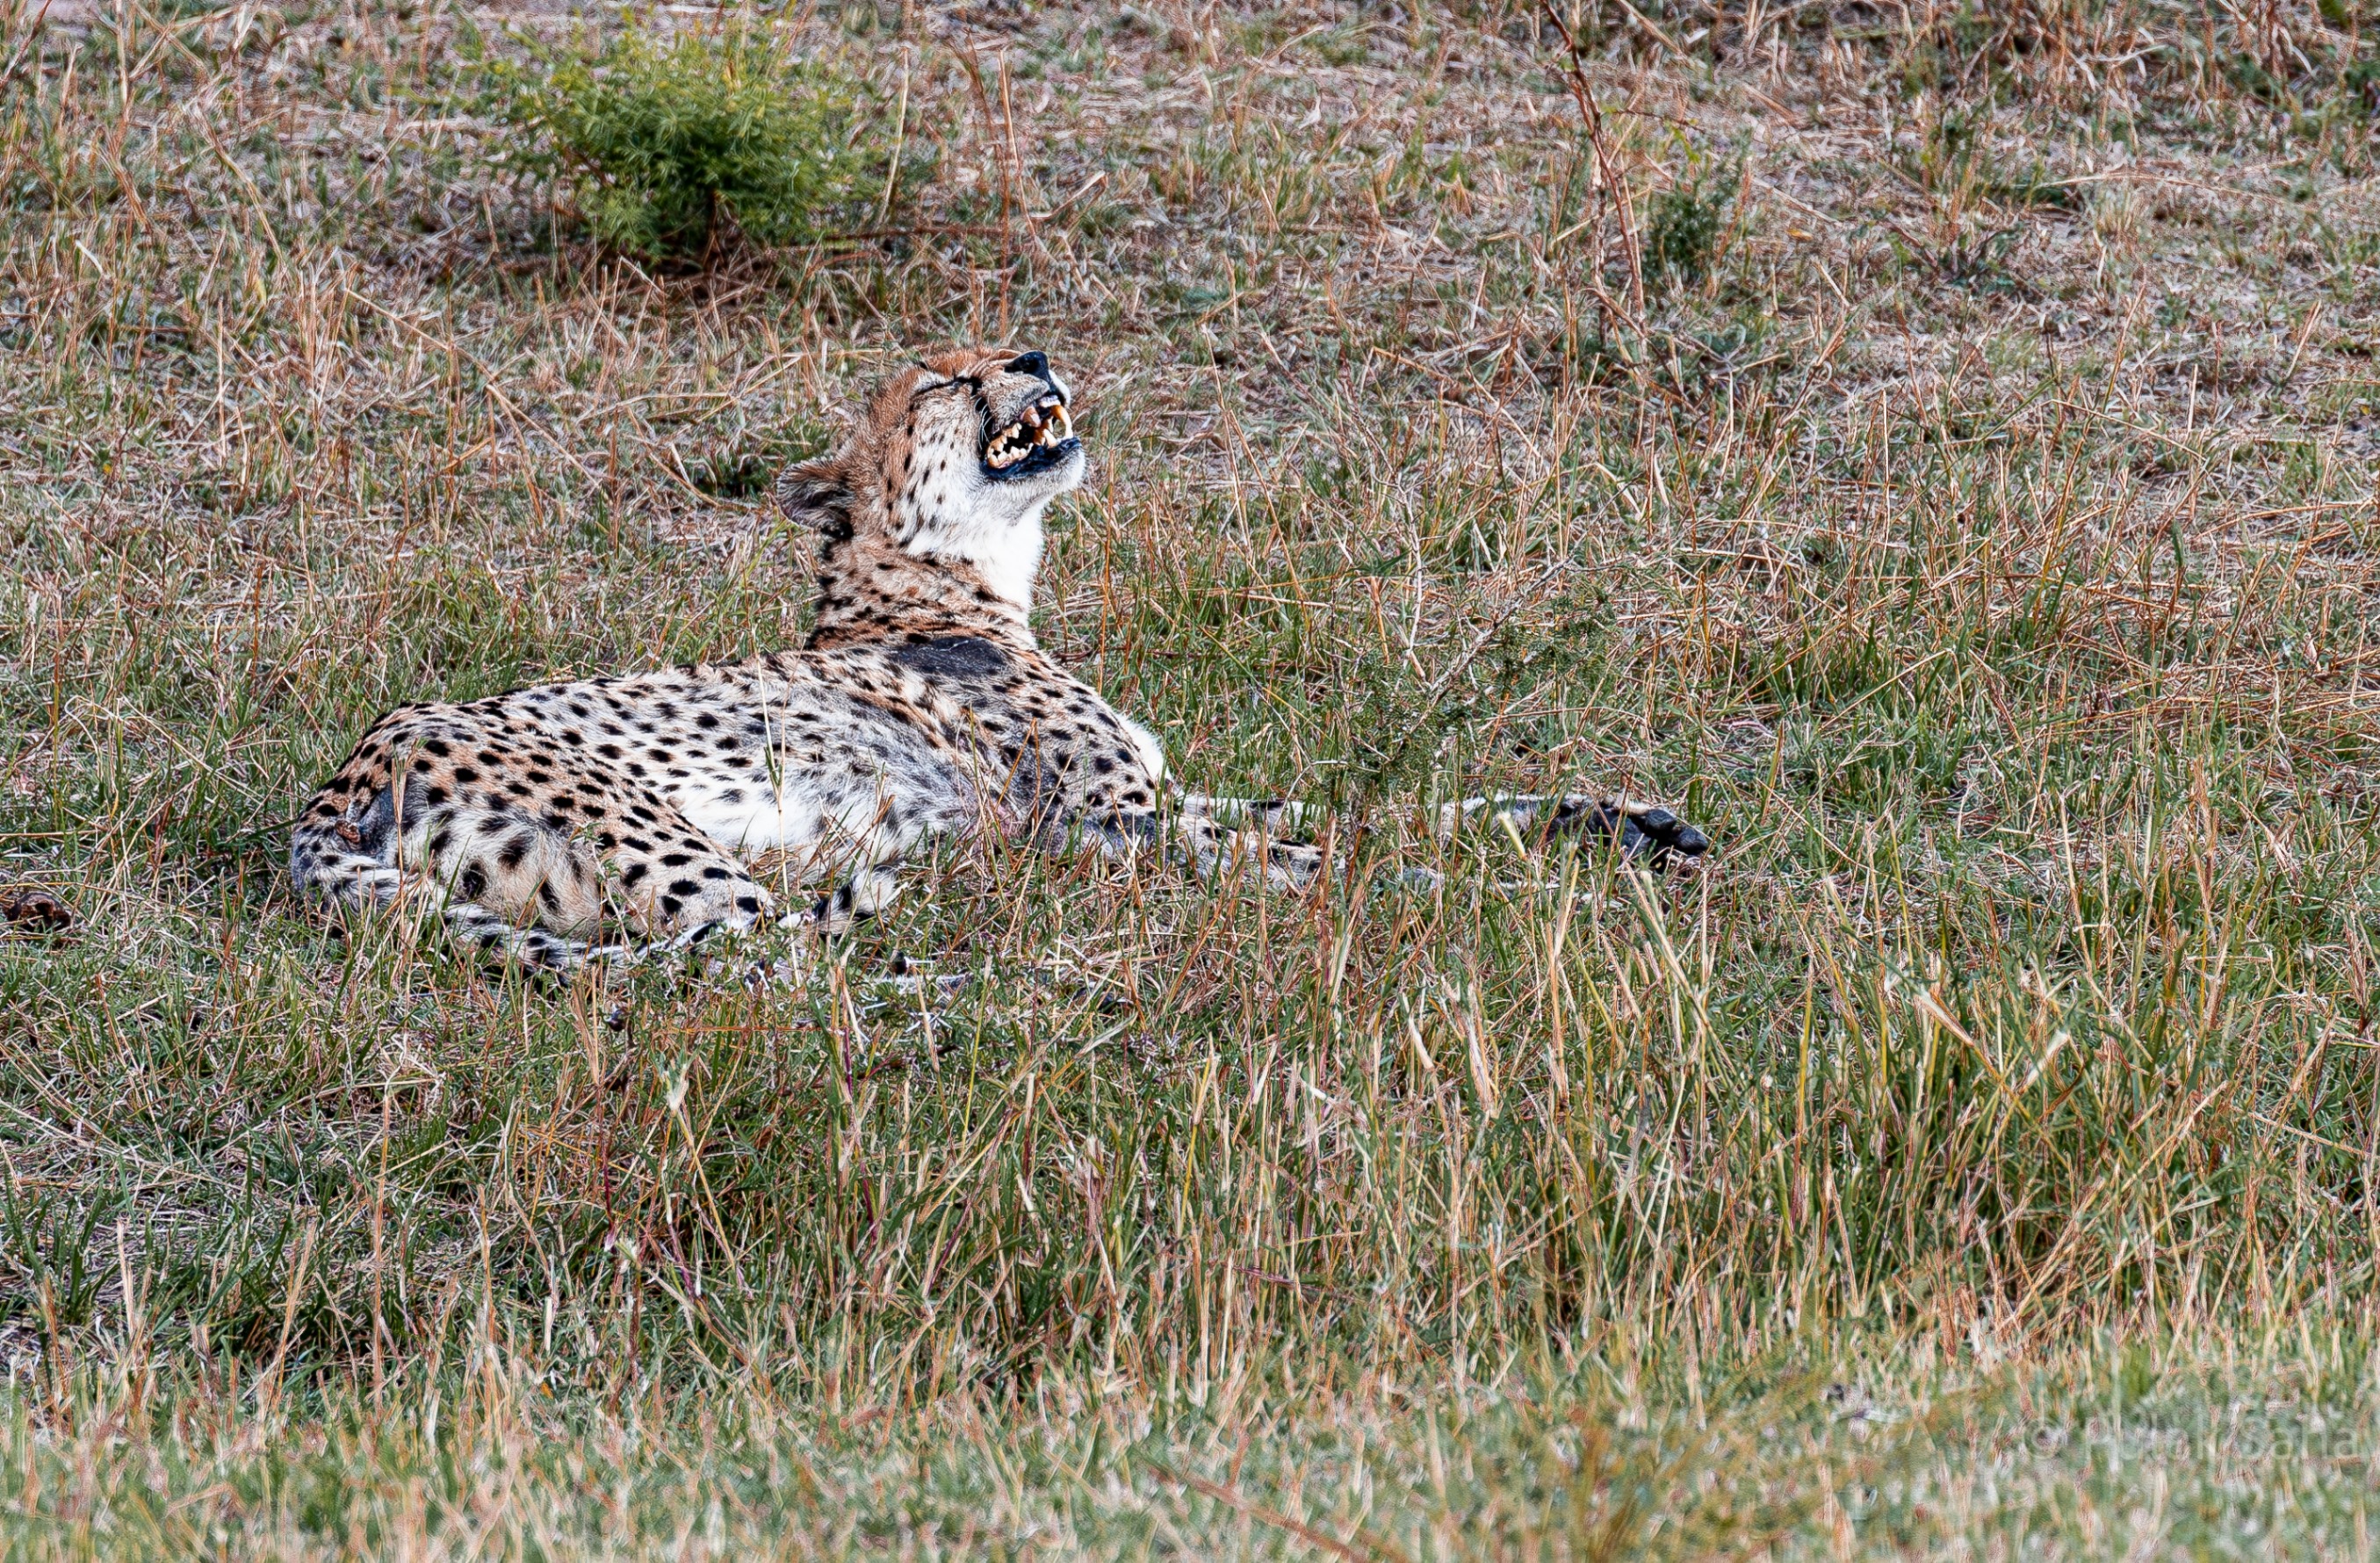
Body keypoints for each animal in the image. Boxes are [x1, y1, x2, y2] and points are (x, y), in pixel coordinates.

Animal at [288, 347, 1709, 971]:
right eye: (940, 380)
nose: (1029, 354)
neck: (963, 583)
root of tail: (339, 775)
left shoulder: (1161, 798)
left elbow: (1389, 805)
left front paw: (1613, 825)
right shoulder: (1108, 827)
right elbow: (1332, 854)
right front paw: (1505, 898)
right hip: (664, 838)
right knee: (760, 964)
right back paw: (980, 985)